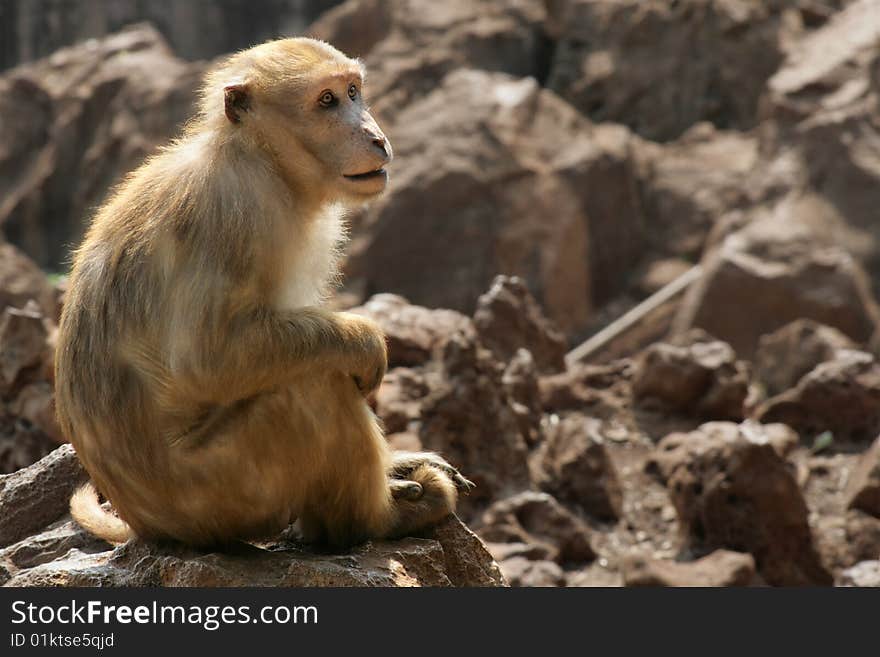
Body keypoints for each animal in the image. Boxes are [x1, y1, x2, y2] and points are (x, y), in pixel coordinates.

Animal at [55, 37, 474, 548]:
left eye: (353, 92)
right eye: (327, 101)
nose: (375, 137)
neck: (262, 159)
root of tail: (146, 525)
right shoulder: (232, 212)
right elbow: (207, 361)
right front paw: (366, 342)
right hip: (221, 490)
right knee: (315, 383)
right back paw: (375, 521)